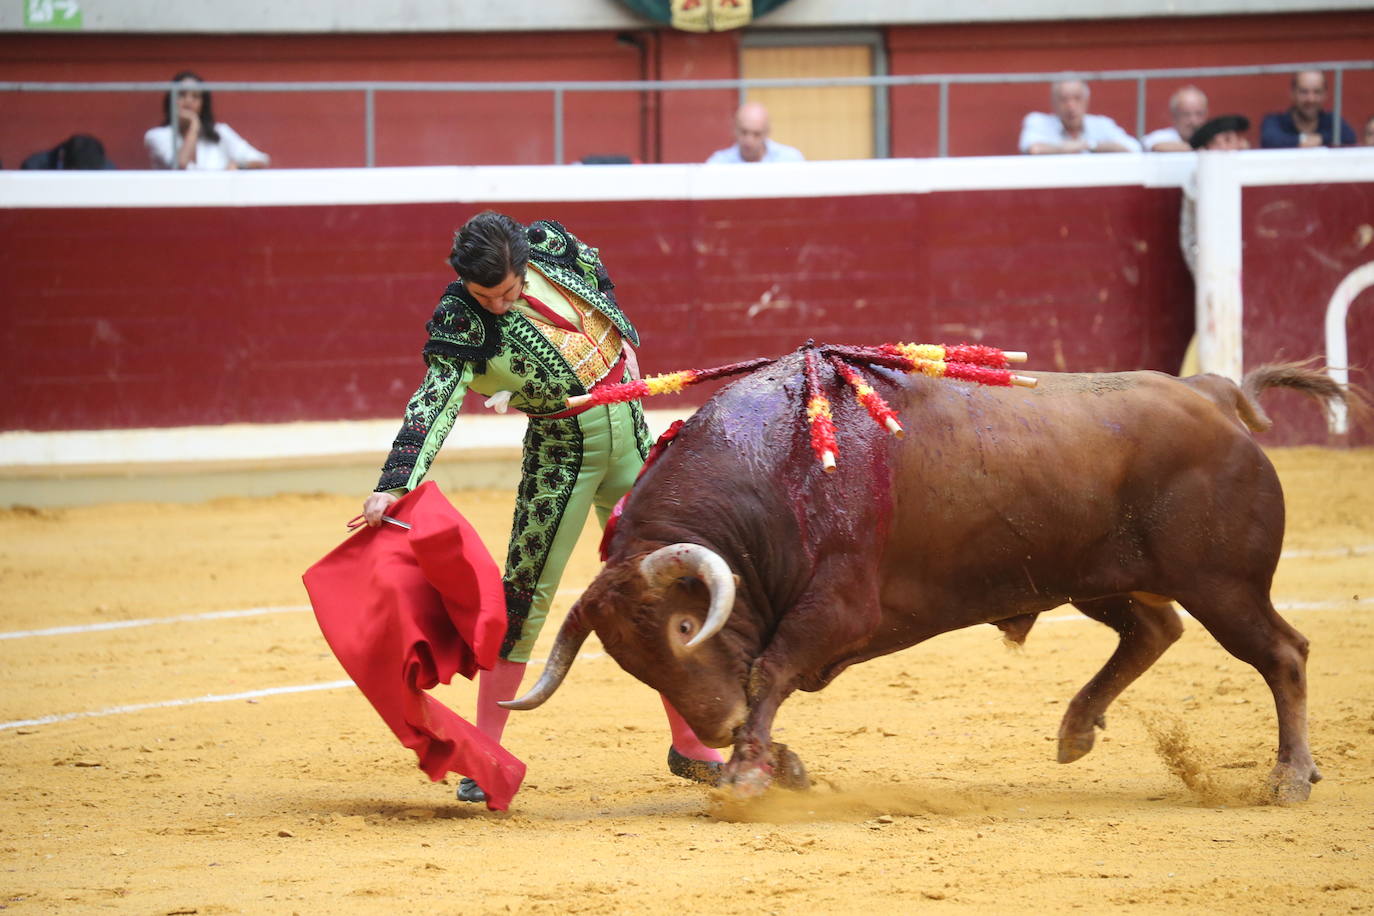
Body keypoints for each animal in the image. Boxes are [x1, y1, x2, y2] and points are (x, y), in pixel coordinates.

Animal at [502, 357, 1352, 802]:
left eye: (685, 626)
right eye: (631, 665)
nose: (715, 728)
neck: (767, 479)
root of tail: (1212, 393)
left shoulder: (839, 609)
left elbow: (771, 670)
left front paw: (748, 768)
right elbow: (766, 679)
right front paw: (774, 761)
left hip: (1224, 586)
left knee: (1283, 653)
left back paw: (1290, 777)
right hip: (1098, 579)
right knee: (1154, 629)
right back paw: (1077, 730)